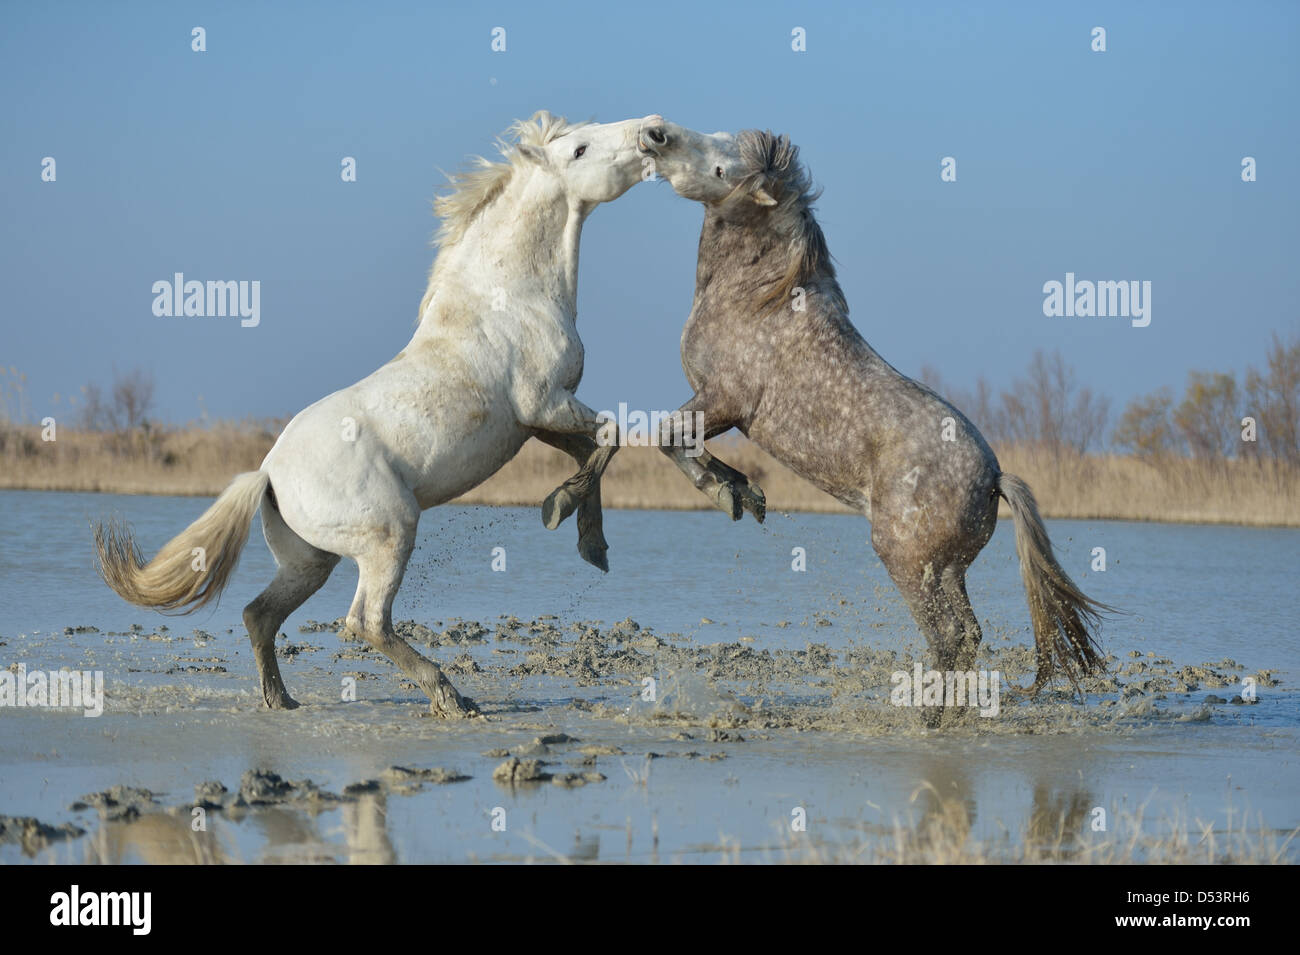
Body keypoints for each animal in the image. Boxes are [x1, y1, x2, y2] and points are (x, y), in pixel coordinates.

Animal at [96, 111, 665, 717]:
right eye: (579, 149)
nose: (652, 131)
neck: (507, 298)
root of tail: (268, 473)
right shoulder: (545, 403)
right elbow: (612, 438)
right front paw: (559, 509)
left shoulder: (536, 423)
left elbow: (593, 453)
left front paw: (592, 545)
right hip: (390, 534)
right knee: (365, 622)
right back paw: (450, 696)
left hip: (311, 561)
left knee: (260, 614)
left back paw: (283, 700)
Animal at [553, 123, 1112, 701]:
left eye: (722, 168)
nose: (655, 134)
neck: (757, 298)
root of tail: (995, 477)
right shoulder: (718, 407)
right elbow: (677, 442)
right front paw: (745, 493)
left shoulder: (724, 401)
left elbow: (663, 435)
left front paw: (719, 493)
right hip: (947, 569)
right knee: (967, 637)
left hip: (910, 562)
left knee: (950, 637)